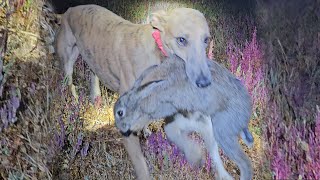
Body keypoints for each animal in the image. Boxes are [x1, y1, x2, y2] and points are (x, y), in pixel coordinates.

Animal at [55, 4, 212, 179]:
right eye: (181, 40)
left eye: (206, 40)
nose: (205, 82)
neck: (157, 50)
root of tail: (69, 10)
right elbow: (141, 165)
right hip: (68, 59)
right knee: (68, 82)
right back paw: (74, 104)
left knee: (93, 74)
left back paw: (95, 98)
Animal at [114, 56, 254, 180]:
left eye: (120, 113)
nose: (122, 130)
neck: (141, 98)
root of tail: (246, 113)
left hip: (223, 131)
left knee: (245, 163)